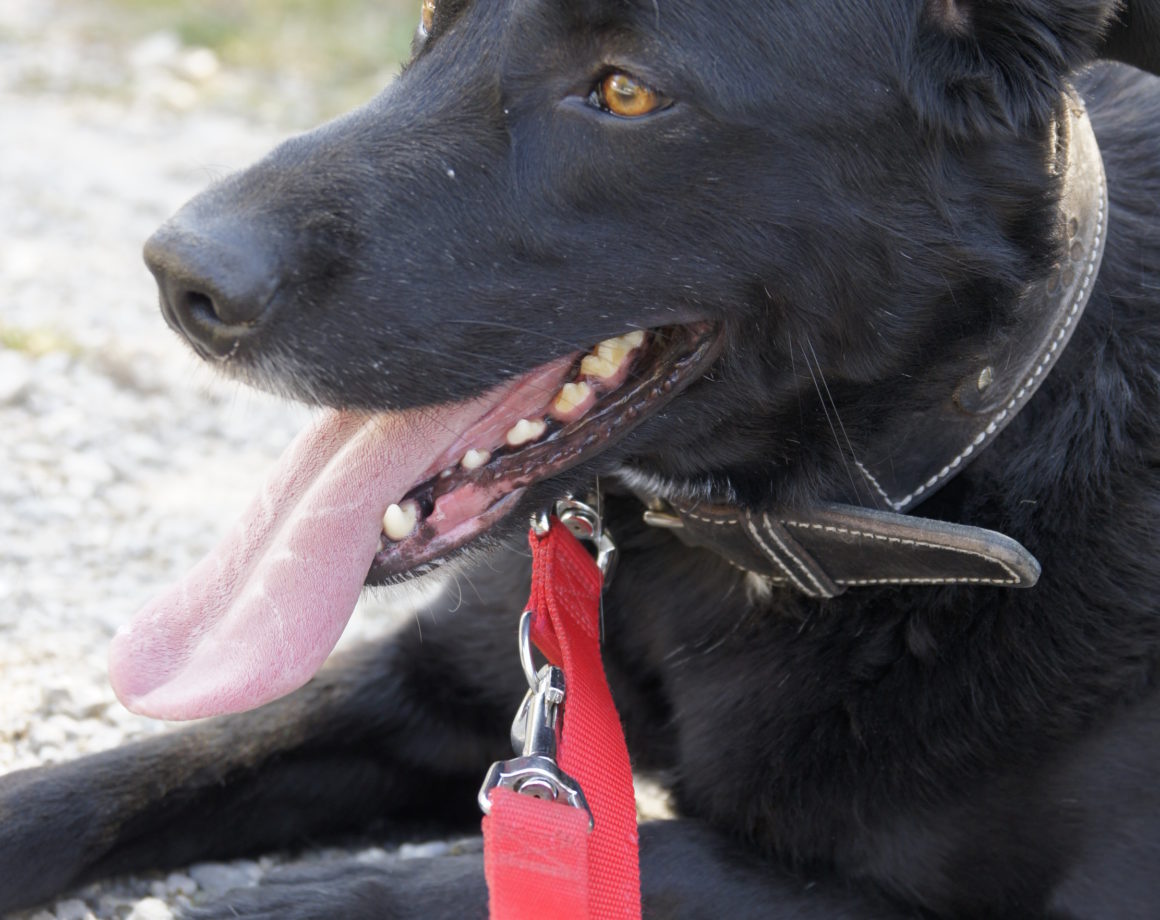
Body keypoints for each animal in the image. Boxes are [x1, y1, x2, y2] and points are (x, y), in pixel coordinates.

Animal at [2, 0, 1160, 914]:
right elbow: (131, 769)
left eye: (626, 92)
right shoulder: (433, 684)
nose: (180, 278)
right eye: (429, 17)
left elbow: (648, 855)